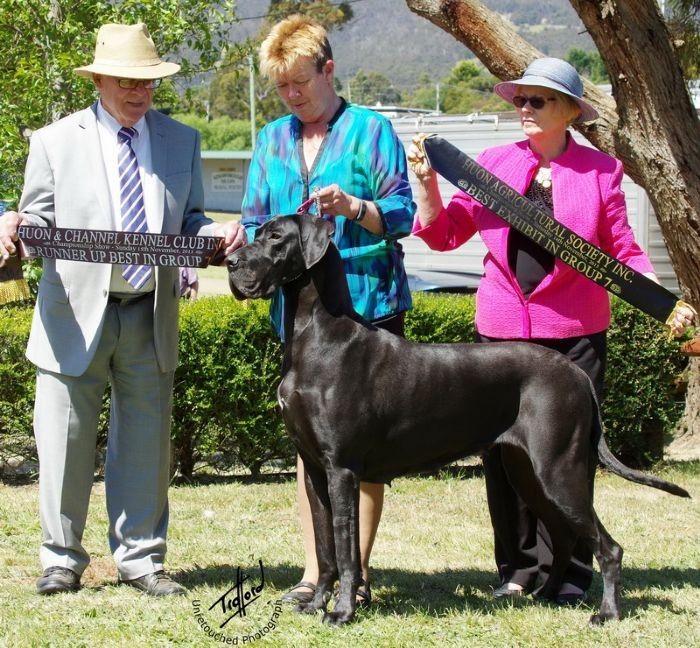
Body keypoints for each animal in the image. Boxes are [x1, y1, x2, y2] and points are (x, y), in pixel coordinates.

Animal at [226, 213, 690, 627]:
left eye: (276, 238)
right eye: (256, 231)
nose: (231, 262)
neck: (316, 333)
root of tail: (576, 374)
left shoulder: (342, 470)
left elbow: (345, 548)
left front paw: (341, 613)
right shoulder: (314, 471)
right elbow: (324, 547)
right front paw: (315, 604)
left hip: (560, 470)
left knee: (608, 547)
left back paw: (606, 613)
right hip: (528, 473)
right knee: (563, 537)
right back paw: (546, 595)